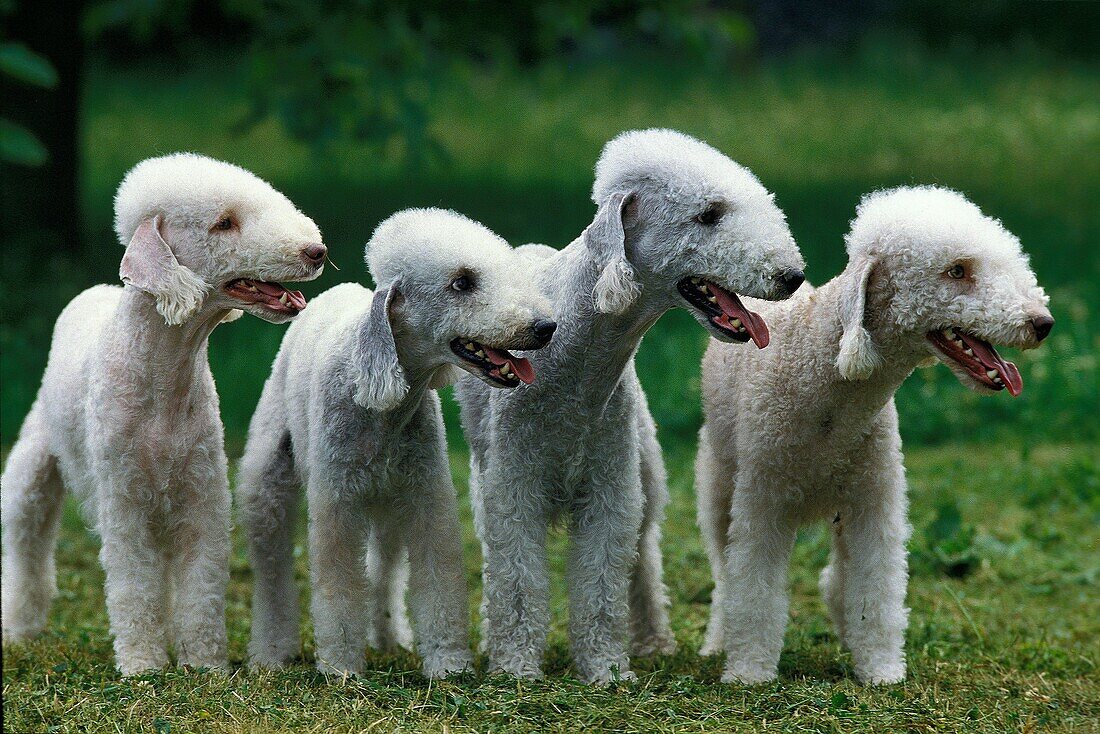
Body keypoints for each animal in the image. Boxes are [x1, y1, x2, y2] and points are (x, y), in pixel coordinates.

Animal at [0, 155, 323, 677]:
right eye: (224, 223)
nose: (317, 251)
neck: (164, 371)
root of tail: (89, 295)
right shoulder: (125, 502)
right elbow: (134, 585)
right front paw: (143, 666)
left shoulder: (201, 497)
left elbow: (201, 587)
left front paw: (205, 665)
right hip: (33, 463)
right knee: (27, 540)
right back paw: (19, 629)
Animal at [238, 206, 550, 677]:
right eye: (462, 282)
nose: (545, 327)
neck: (382, 404)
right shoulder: (337, 505)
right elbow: (339, 584)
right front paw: (342, 667)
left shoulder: (425, 496)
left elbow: (438, 579)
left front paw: (448, 665)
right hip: (268, 480)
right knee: (273, 570)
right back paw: (271, 652)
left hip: (388, 503)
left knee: (383, 568)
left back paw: (386, 638)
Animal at [455, 129, 809, 686]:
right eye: (708, 214)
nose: (791, 275)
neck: (575, 355)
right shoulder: (514, 489)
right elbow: (517, 582)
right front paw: (515, 669)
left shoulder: (610, 489)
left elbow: (603, 581)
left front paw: (606, 669)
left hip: (643, 463)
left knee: (641, 558)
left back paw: (653, 642)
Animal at [699, 187, 1051, 686]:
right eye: (957, 271)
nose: (1042, 323)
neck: (827, 378)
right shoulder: (763, 499)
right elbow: (752, 589)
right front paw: (749, 672)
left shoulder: (874, 498)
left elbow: (876, 588)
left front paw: (882, 669)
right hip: (718, 477)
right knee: (723, 572)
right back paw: (716, 642)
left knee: (836, 578)